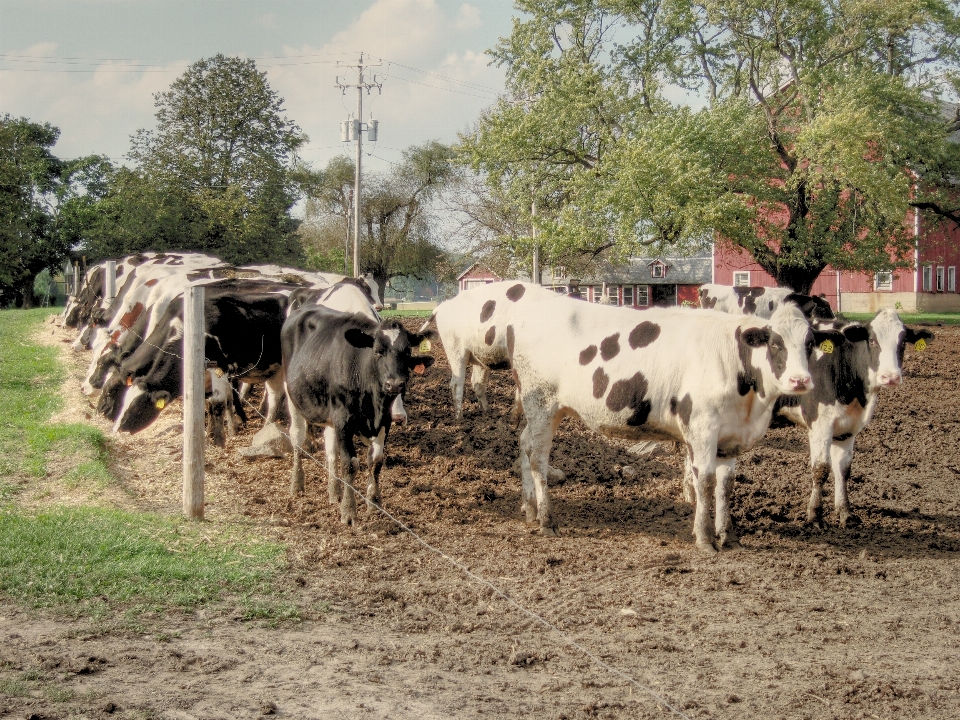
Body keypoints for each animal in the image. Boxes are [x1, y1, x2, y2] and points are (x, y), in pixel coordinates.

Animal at [282, 304, 436, 524]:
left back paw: (334, 492)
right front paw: (348, 512)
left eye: (407, 351)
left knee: (330, 448)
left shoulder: (384, 422)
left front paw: (375, 504)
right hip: (293, 395)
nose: (394, 384)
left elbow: (376, 461)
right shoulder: (343, 419)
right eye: (377, 351)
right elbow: (350, 464)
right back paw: (297, 484)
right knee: (297, 437)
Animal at [776, 310, 932, 528]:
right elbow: (821, 469)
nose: (890, 377)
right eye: (873, 340)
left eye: (902, 342)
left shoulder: (848, 429)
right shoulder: (820, 425)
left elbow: (843, 470)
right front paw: (815, 515)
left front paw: (845, 513)